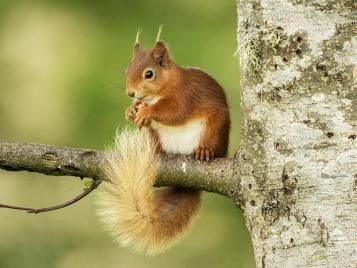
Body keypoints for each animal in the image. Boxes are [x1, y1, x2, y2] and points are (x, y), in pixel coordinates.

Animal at [97, 36, 229, 255]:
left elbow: (174, 111)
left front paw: (146, 111)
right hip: (154, 137)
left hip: (214, 129)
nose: (130, 93)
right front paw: (130, 111)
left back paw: (205, 151)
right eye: (126, 70)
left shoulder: (185, 95)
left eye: (149, 74)